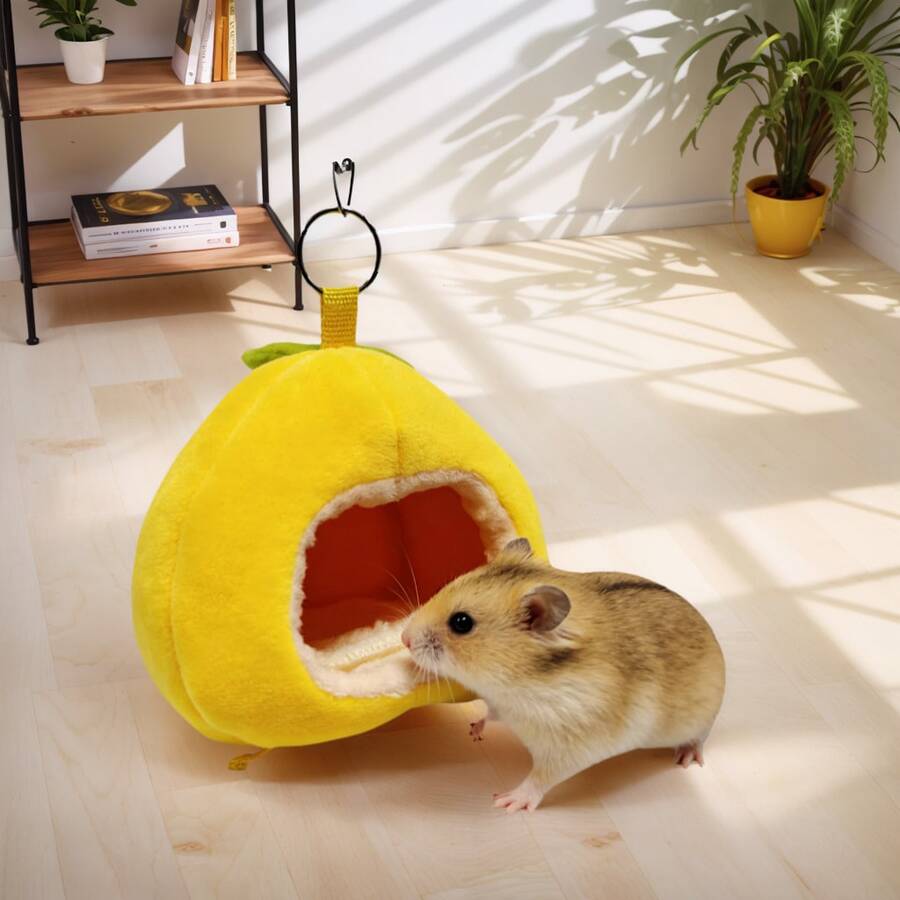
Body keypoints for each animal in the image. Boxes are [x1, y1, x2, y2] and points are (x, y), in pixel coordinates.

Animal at [400, 538, 725, 812]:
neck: (516, 680)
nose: (404, 638)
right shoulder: (500, 705)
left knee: (700, 737)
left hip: (701, 720)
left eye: (462, 622)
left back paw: (686, 759)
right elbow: (489, 714)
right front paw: (473, 731)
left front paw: (505, 802)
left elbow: (540, 778)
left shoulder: (572, 748)